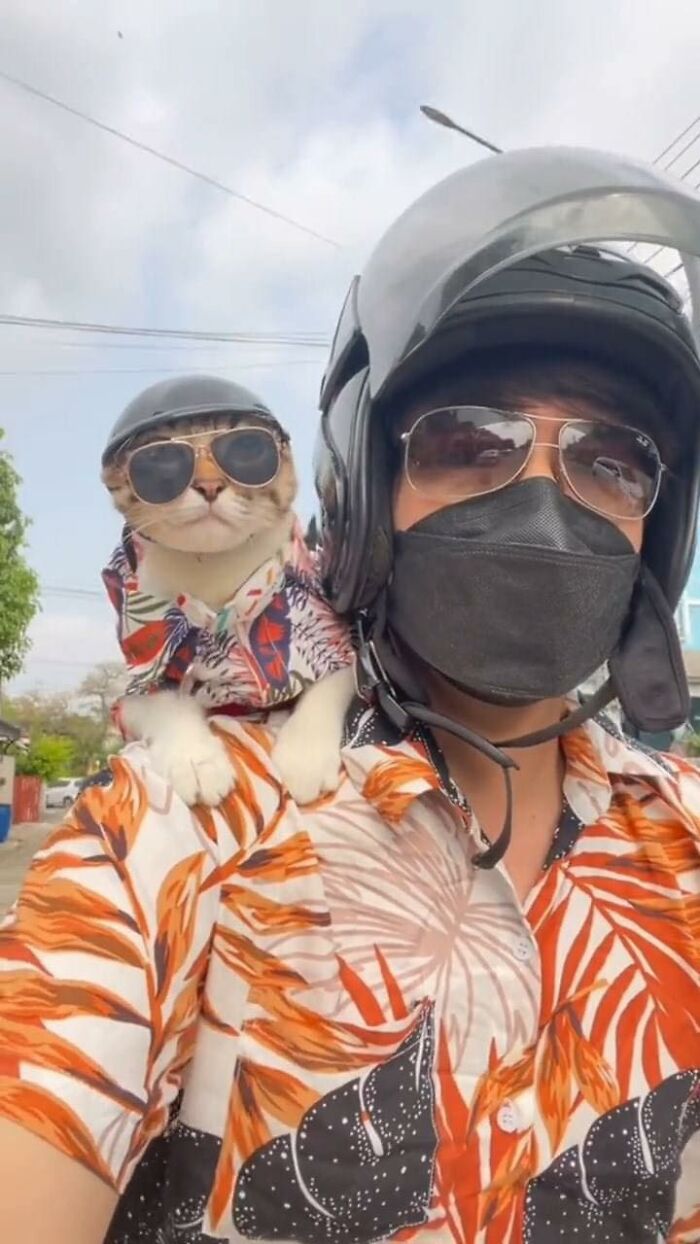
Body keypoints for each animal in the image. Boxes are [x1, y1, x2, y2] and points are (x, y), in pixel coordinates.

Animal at [101, 410, 355, 806]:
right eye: (159, 458)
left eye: (248, 449)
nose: (209, 485)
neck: (214, 573)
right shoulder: (140, 672)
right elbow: (162, 703)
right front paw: (195, 759)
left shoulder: (324, 630)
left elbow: (332, 678)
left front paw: (305, 757)